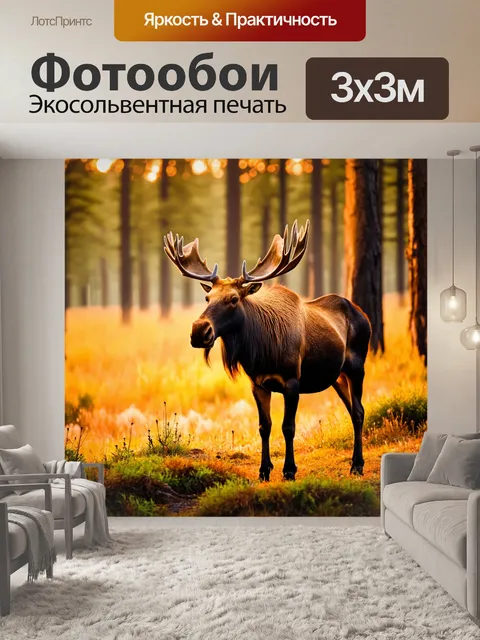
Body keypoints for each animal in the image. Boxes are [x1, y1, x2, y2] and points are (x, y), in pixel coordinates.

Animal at [164, 220, 371, 481]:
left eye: (234, 299)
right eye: (207, 297)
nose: (199, 331)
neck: (261, 352)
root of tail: (364, 316)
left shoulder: (292, 381)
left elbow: (288, 426)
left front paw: (289, 469)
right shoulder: (258, 383)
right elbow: (265, 426)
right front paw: (264, 470)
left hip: (357, 366)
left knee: (359, 411)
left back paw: (357, 464)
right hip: (337, 376)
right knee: (352, 409)